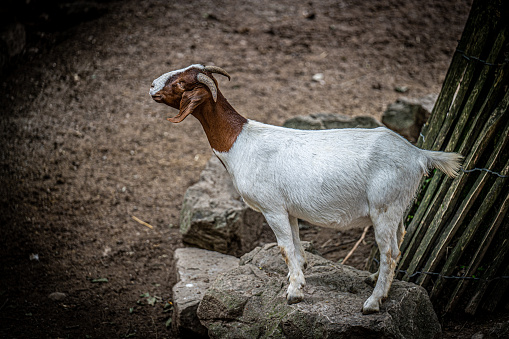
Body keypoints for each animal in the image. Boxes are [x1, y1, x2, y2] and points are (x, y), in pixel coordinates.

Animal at [149, 65, 462, 314]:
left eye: (181, 83)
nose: (151, 86)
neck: (240, 143)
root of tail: (419, 154)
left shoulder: (272, 207)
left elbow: (284, 247)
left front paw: (294, 293)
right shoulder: (288, 209)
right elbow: (297, 244)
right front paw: (299, 274)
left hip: (383, 207)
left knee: (389, 251)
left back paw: (373, 302)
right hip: (398, 206)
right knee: (399, 240)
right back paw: (376, 280)